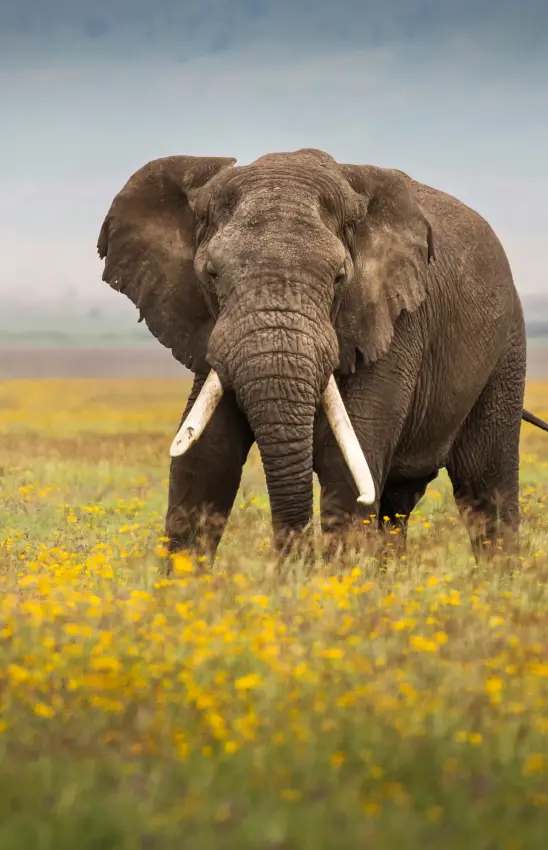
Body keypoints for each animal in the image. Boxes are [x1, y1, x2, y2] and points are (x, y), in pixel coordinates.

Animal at [97, 148, 548, 564]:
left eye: (339, 278)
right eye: (212, 275)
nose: (293, 564)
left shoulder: (394, 323)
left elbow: (345, 466)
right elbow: (206, 459)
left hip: (506, 347)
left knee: (485, 486)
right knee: (397, 505)